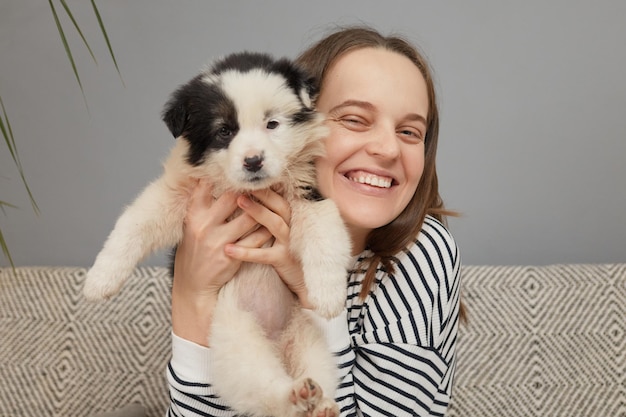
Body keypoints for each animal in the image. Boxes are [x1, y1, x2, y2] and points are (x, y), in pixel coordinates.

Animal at [84, 52, 352, 416]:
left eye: (272, 124)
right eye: (224, 131)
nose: (253, 161)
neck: (248, 191)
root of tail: (276, 342)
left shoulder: (310, 195)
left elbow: (325, 237)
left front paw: (327, 294)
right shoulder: (176, 195)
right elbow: (133, 223)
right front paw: (100, 281)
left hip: (310, 344)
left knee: (310, 377)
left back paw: (317, 401)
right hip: (236, 340)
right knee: (265, 389)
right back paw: (297, 396)